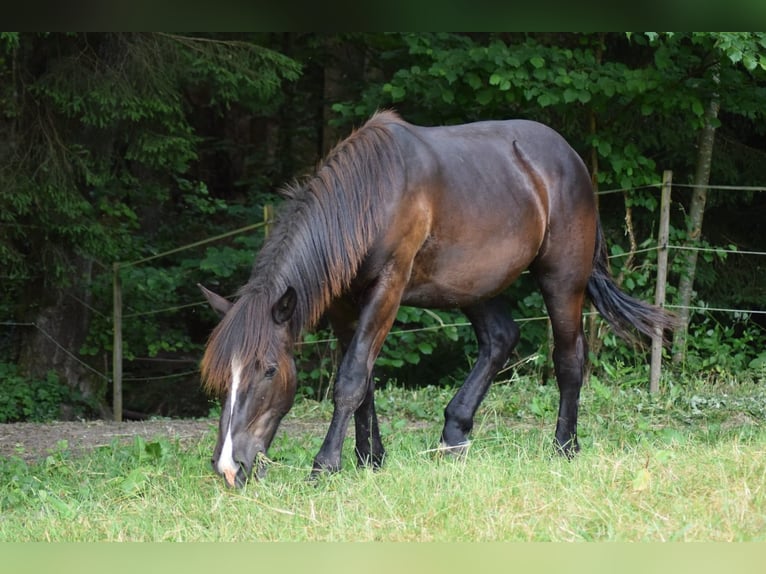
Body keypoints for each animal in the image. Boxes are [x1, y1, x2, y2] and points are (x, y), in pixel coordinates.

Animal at [200, 110, 680, 488]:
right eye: (223, 376)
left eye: (268, 370)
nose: (228, 467)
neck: (370, 196)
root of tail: (573, 160)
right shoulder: (344, 304)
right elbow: (363, 379)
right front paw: (370, 459)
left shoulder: (388, 288)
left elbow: (351, 378)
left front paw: (326, 466)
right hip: (473, 284)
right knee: (500, 339)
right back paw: (454, 434)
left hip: (562, 279)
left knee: (568, 358)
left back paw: (564, 447)